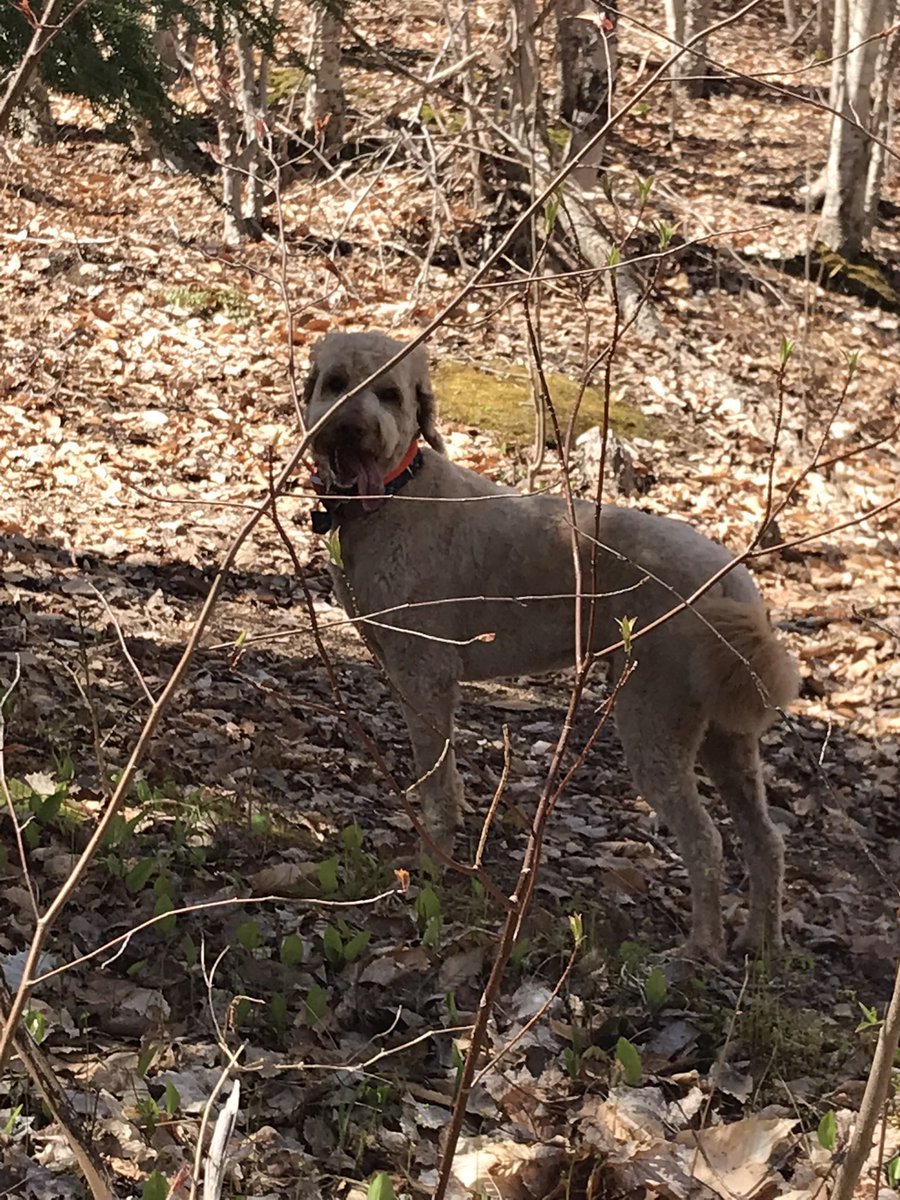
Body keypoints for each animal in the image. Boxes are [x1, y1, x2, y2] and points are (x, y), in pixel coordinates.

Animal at [307, 331, 801, 964]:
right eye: (335, 384)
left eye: (390, 395)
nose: (350, 431)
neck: (398, 493)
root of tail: (734, 584)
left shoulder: (425, 674)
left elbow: (437, 785)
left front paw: (430, 868)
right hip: (725, 734)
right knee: (766, 839)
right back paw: (762, 943)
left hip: (653, 717)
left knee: (706, 841)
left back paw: (700, 949)